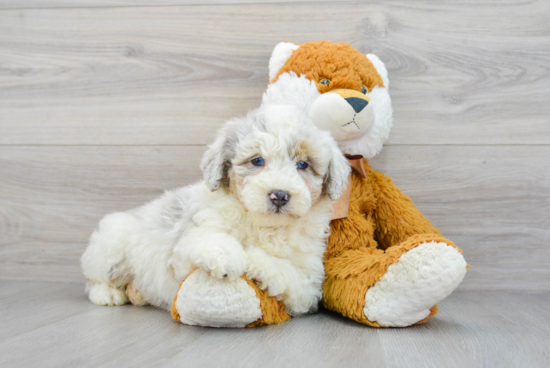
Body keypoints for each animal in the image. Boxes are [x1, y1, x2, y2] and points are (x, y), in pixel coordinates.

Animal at [81, 105, 350, 318]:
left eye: (303, 164)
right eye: (257, 161)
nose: (279, 195)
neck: (264, 226)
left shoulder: (309, 285)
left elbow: (289, 273)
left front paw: (257, 260)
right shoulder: (185, 247)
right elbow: (210, 238)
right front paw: (228, 255)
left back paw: (137, 293)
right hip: (112, 246)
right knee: (94, 279)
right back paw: (108, 294)